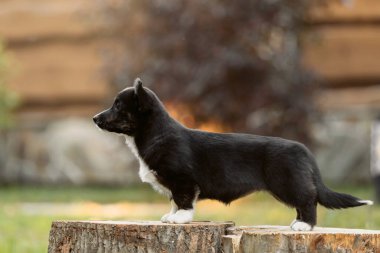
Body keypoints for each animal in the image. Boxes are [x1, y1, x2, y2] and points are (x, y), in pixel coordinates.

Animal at [93, 78, 372, 230]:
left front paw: (180, 219)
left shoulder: (183, 180)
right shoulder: (175, 184)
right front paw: (170, 217)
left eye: (118, 106)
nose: (94, 118)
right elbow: (173, 201)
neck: (153, 134)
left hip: (288, 182)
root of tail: (304, 150)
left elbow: (183, 201)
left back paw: (304, 226)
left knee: (308, 200)